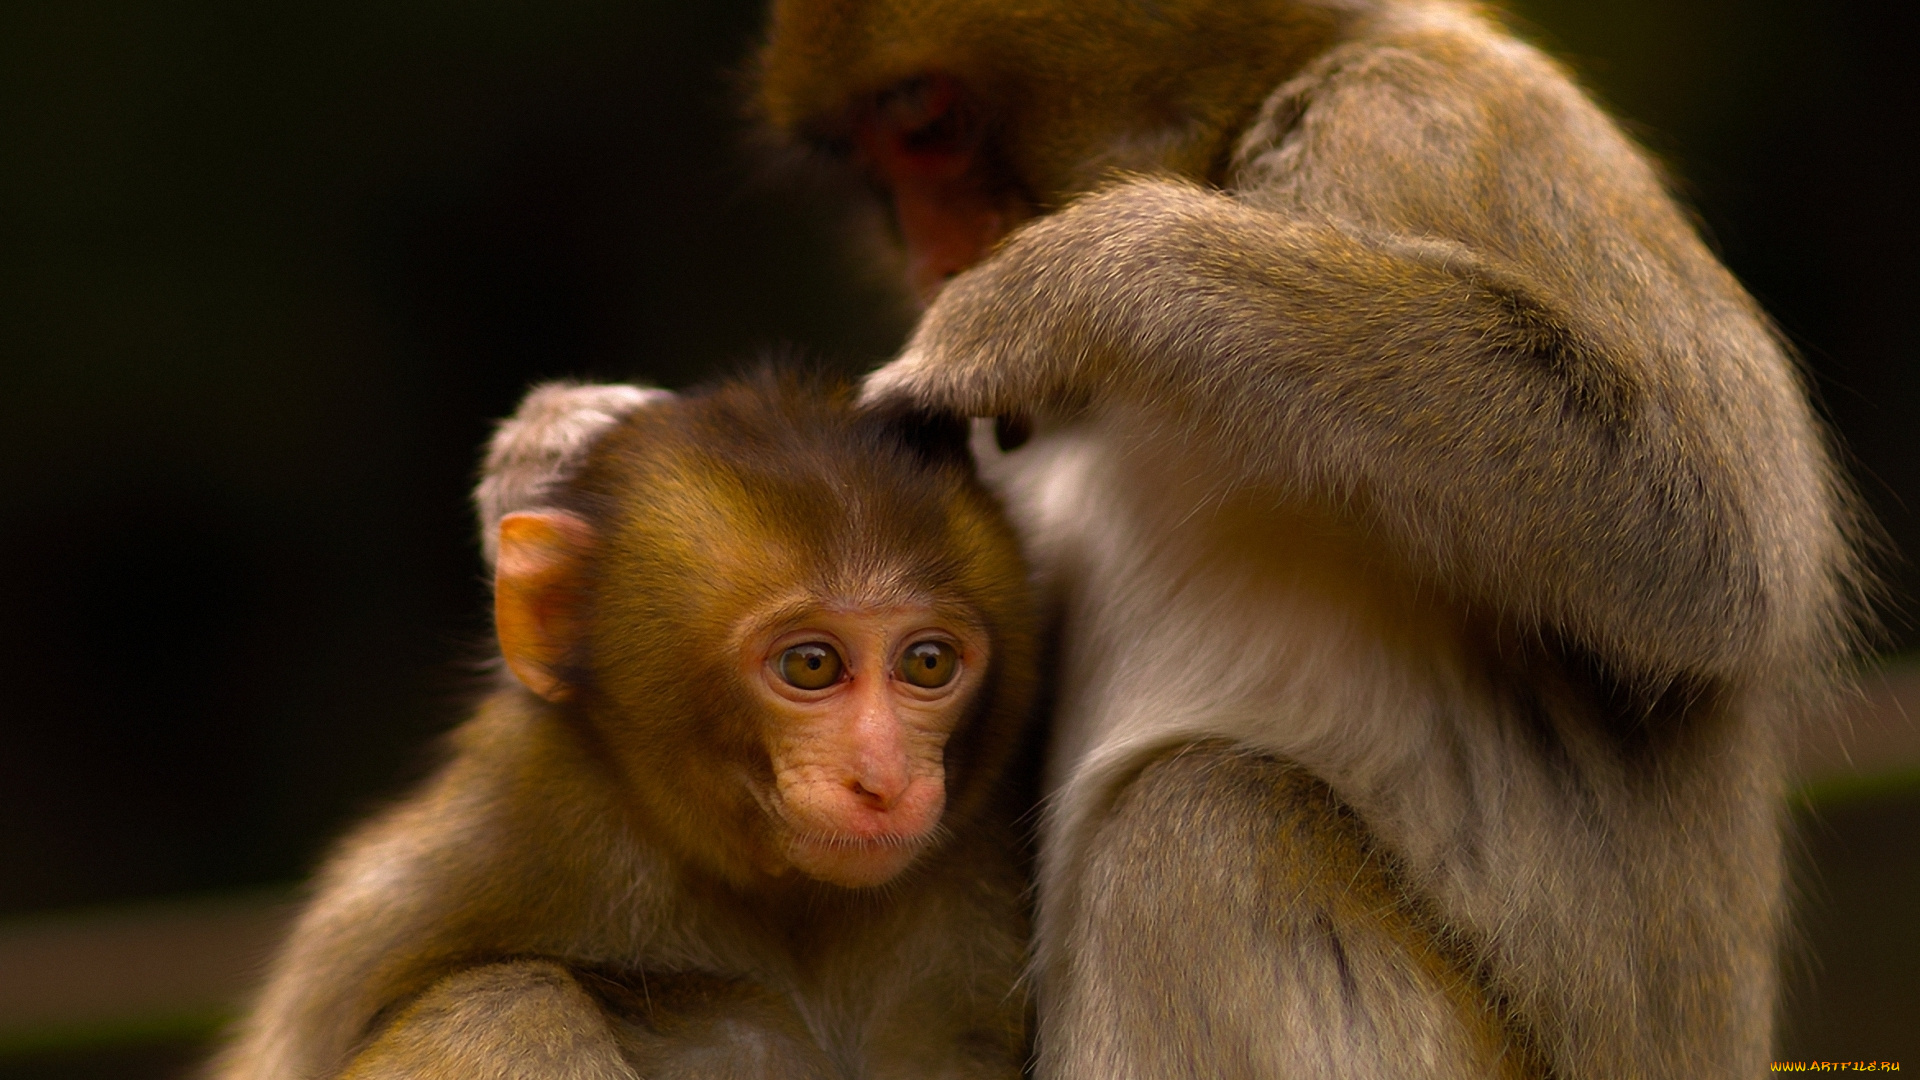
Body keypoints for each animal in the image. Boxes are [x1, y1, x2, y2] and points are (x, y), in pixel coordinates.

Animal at [214, 368, 1036, 1076]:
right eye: (811, 665)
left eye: (927, 662)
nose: (884, 778)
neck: (786, 905)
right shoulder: (431, 880)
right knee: (506, 1005)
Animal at [756, 2, 1866, 1076]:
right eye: (878, 165)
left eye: (926, 125)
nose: (929, 261)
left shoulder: (1422, 127)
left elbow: (1714, 543)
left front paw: (1063, 288)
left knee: (1202, 829)